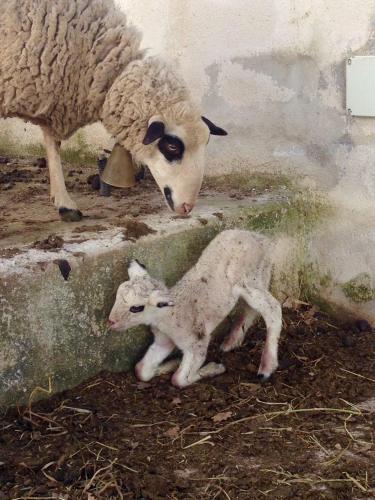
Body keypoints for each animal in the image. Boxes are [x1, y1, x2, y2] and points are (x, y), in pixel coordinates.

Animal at [108, 229, 282, 388]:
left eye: (136, 308)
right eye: (116, 296)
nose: (111, 321)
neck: (170, 315)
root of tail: (260, 238)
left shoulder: (197, 342)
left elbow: (179, 379)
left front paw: (212, 369)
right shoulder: (164, 340)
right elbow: (141, 370)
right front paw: (170, 364)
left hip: (250, 280)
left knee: (273, 309)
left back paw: (266, 367)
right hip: (257, 279)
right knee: (252, 309)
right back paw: (231, 341)